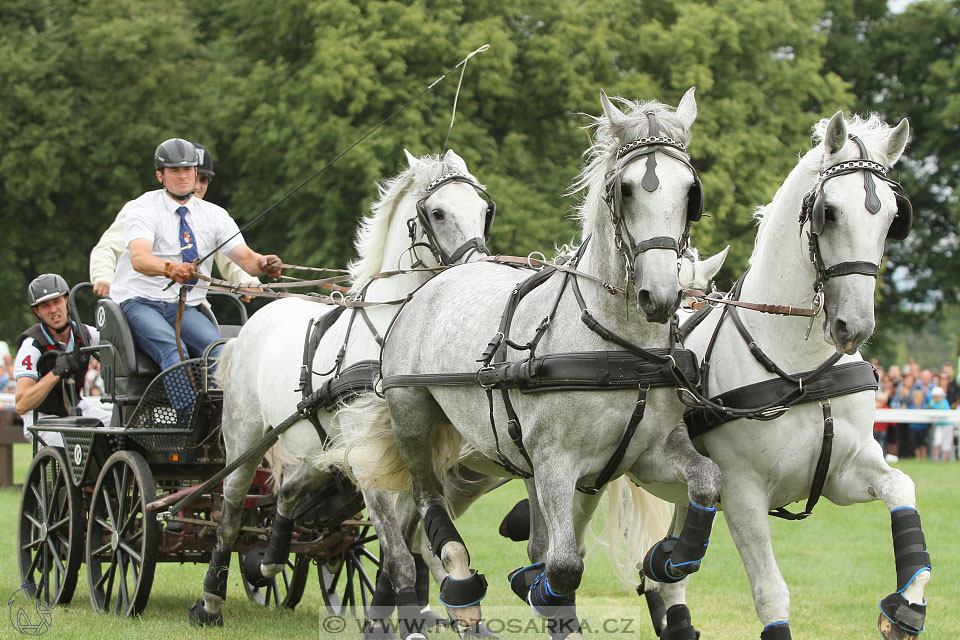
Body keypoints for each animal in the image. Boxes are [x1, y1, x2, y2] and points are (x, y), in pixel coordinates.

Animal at [188, 149, 496, 632]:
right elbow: (399, 556)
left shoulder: (409, 456)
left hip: (321, 448)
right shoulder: (370, 460)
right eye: (438, 212)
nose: (477, 273)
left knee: (289, 490)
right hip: (245, 436)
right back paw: (210, 602)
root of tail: (247, 327)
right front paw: (404, 622)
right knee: (231, 512)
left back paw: (270, 561)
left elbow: (415, 544)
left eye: (484, 210)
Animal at [632, 111, 928, 640]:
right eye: (829, 212)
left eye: (893, 216)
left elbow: (901, 488)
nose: (854, 326)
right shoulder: (743, 494)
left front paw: (907, 603)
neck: (799, 367)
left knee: (668, 579)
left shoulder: (843, 475)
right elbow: (772, 593)